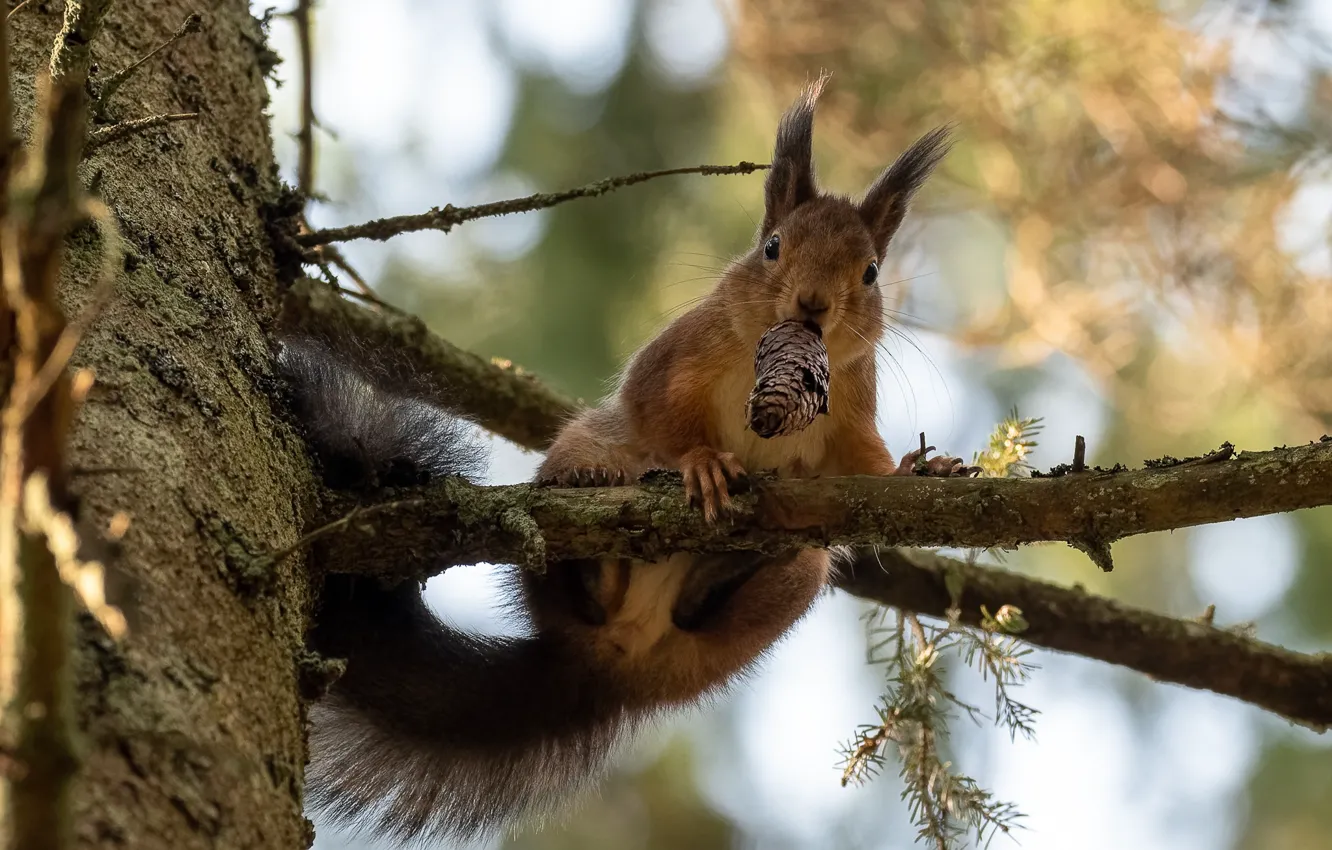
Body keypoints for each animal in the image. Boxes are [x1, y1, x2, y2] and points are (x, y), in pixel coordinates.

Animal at [281, 78, 969, 847]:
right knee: (577, 573)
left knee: (716, 602)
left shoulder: (850, 412)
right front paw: (702, 462)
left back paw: (731, 567)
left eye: (872, 273)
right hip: (579, 470)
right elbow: (661, 413)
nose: (814, 305)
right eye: (772, 247)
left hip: (798, 578)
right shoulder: (674, 360)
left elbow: (866, 466)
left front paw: (921, 471)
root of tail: (615, 674)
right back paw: (593, 518)